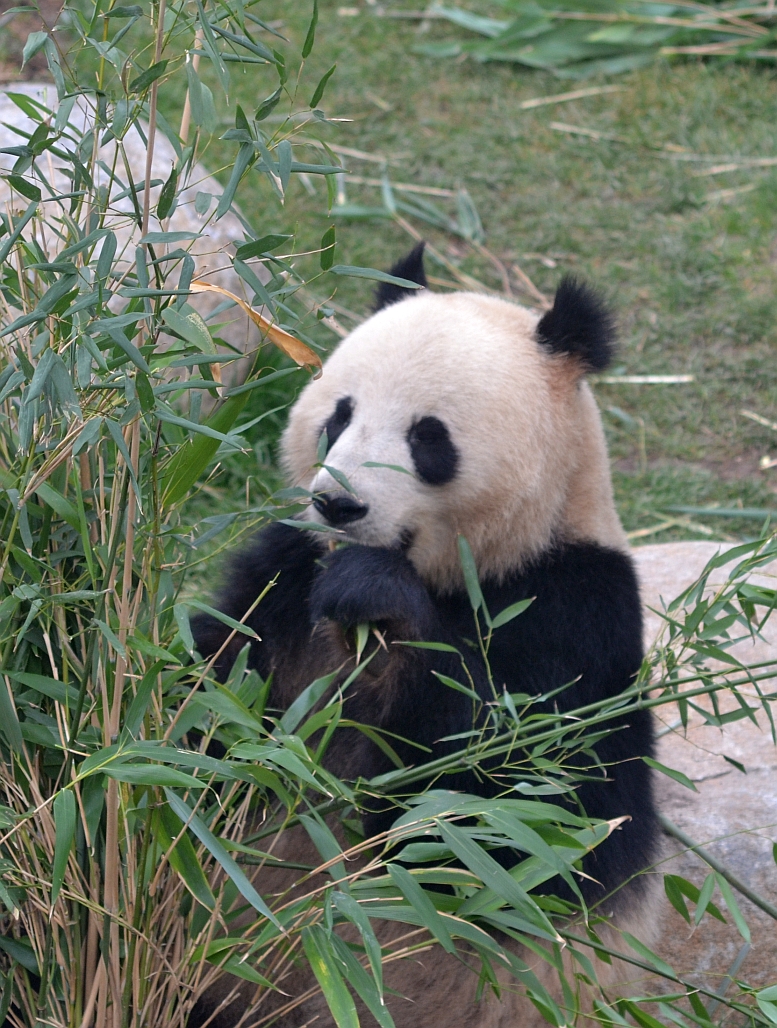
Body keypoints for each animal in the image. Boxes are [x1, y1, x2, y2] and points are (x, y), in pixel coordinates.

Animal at [191, 243, 660, 1028]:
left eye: (427, 437)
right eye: (339, 416)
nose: (339, 504)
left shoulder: (574, 610)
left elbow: (502, 817)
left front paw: (376, 601)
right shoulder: (281, 577)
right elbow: (210, 705)